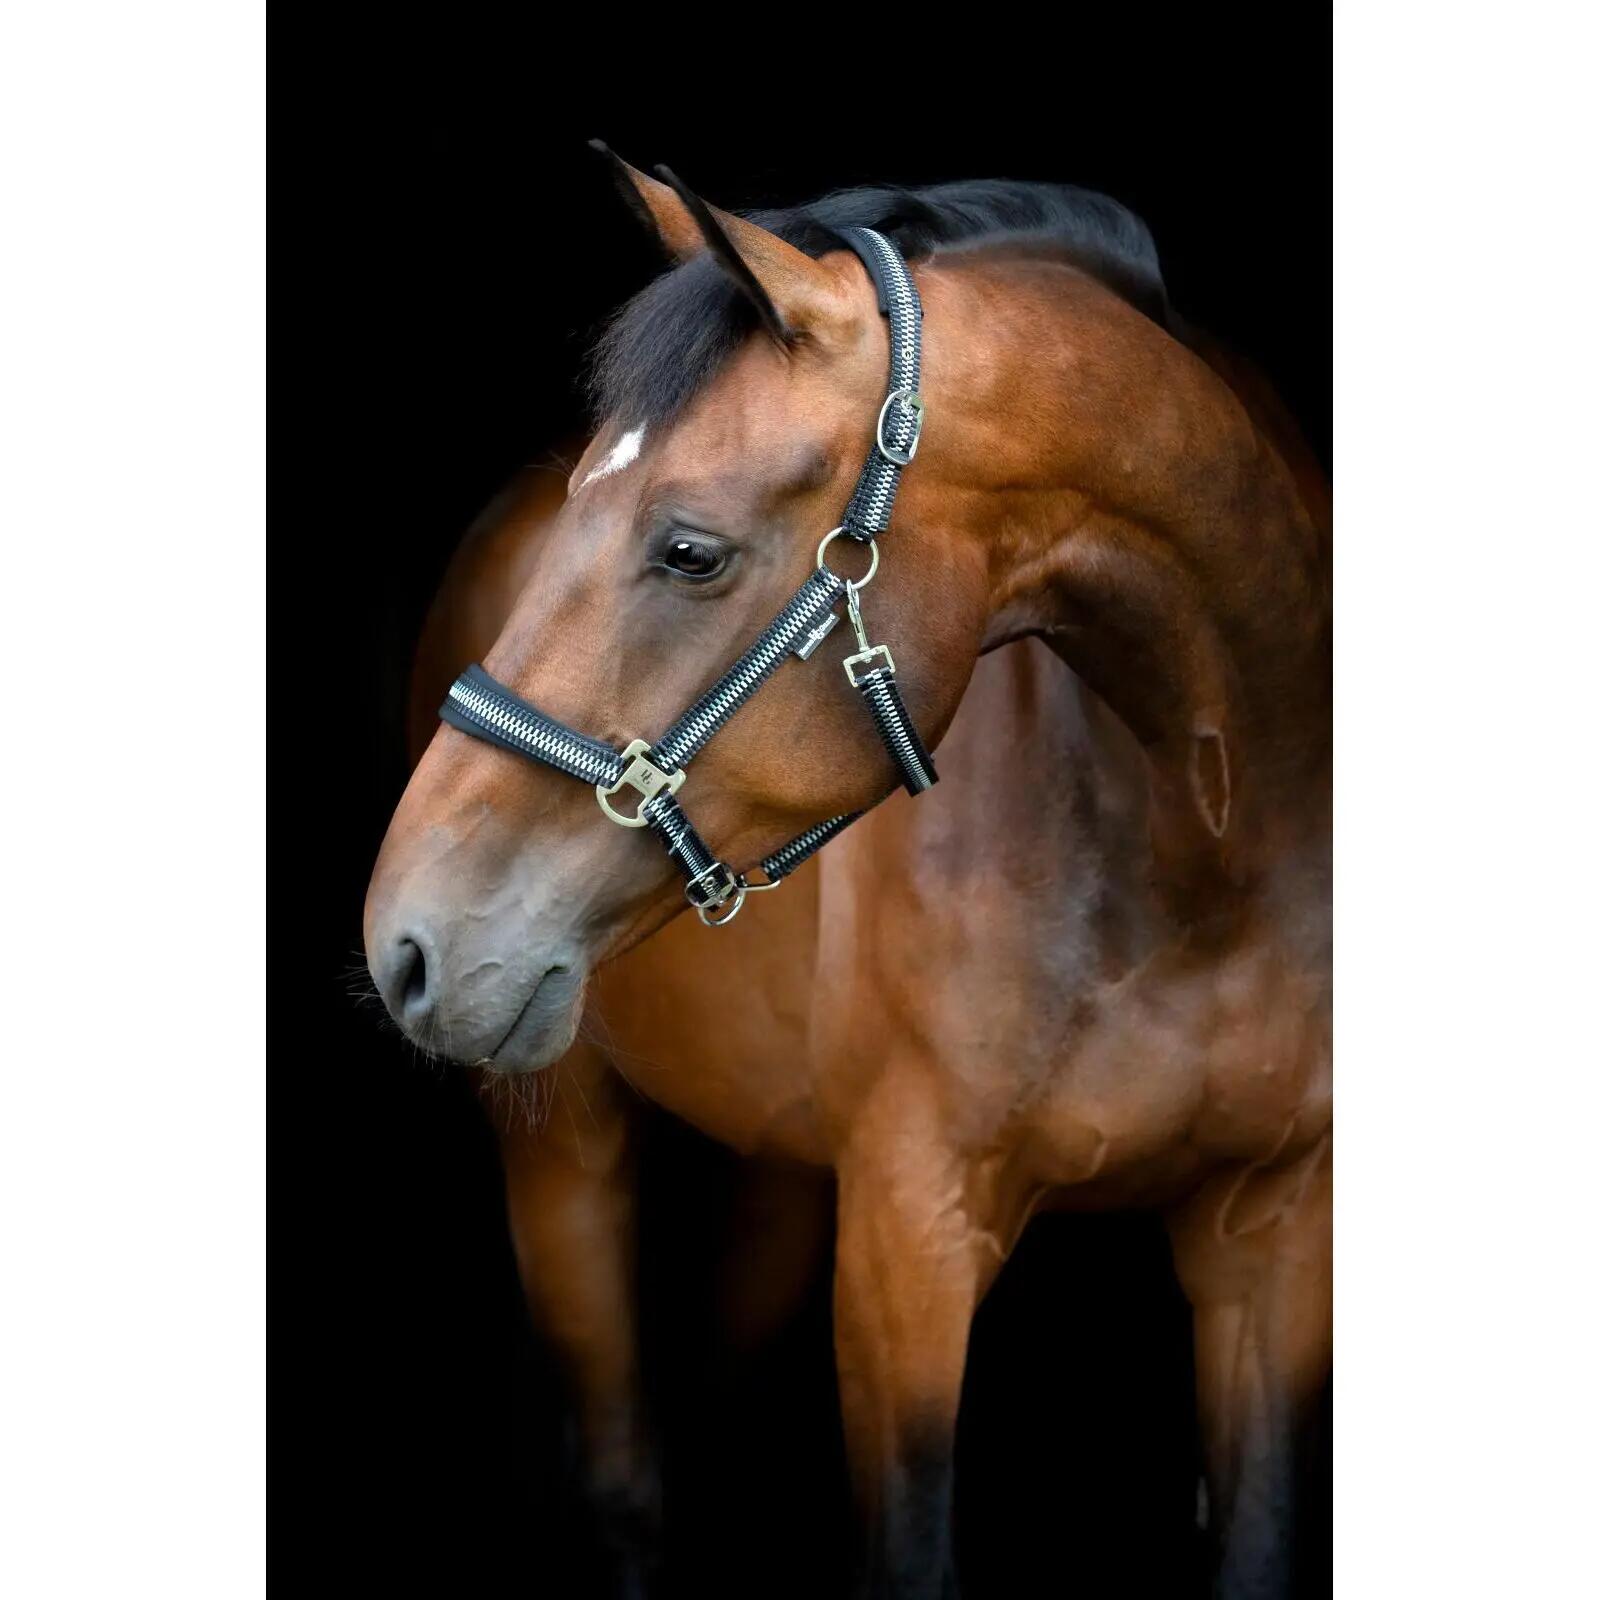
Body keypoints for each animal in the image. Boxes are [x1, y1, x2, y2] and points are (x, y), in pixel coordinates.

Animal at [366, 154, 1332, 1599]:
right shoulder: (907, 1246)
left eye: (690, 549)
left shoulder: (1270, 1245)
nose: (405, 941)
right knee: (624, 1482)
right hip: (565, 1144)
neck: (1208, 853)